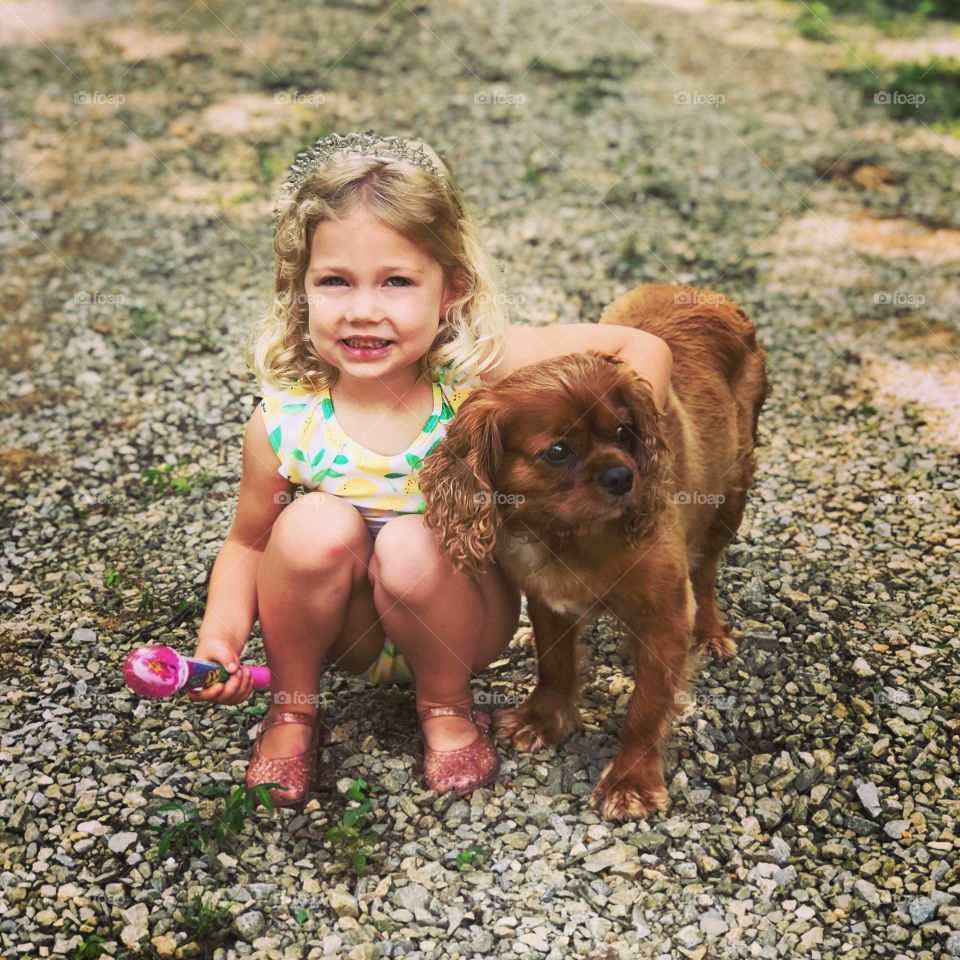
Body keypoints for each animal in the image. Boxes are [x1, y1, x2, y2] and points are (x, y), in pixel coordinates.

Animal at [416, 284, 768, 816]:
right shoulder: (546, 599)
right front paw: (543, 719)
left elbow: (646, 707)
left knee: (705, 572)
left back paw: (708, 632)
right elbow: (554, 662)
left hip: (730, 497)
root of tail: (707, 295)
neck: (569, 535)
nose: (623, 475)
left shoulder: (666, 614)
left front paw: (631, 782)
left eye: (624, 432)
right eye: (558, 451)